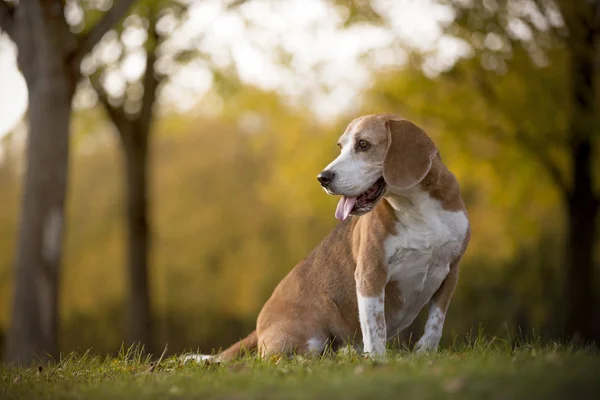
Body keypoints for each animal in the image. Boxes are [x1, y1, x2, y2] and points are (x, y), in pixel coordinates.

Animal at [188, 113, 468, 362]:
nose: (322, 178)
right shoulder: (370, 274)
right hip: (309, 337)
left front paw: (425, 353)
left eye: (363, 144)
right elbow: (375, 328)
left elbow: (435, 322)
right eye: (340, 147)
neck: (417, 207)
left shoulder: (451, 271)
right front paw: (378, 361)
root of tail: (258, 328)